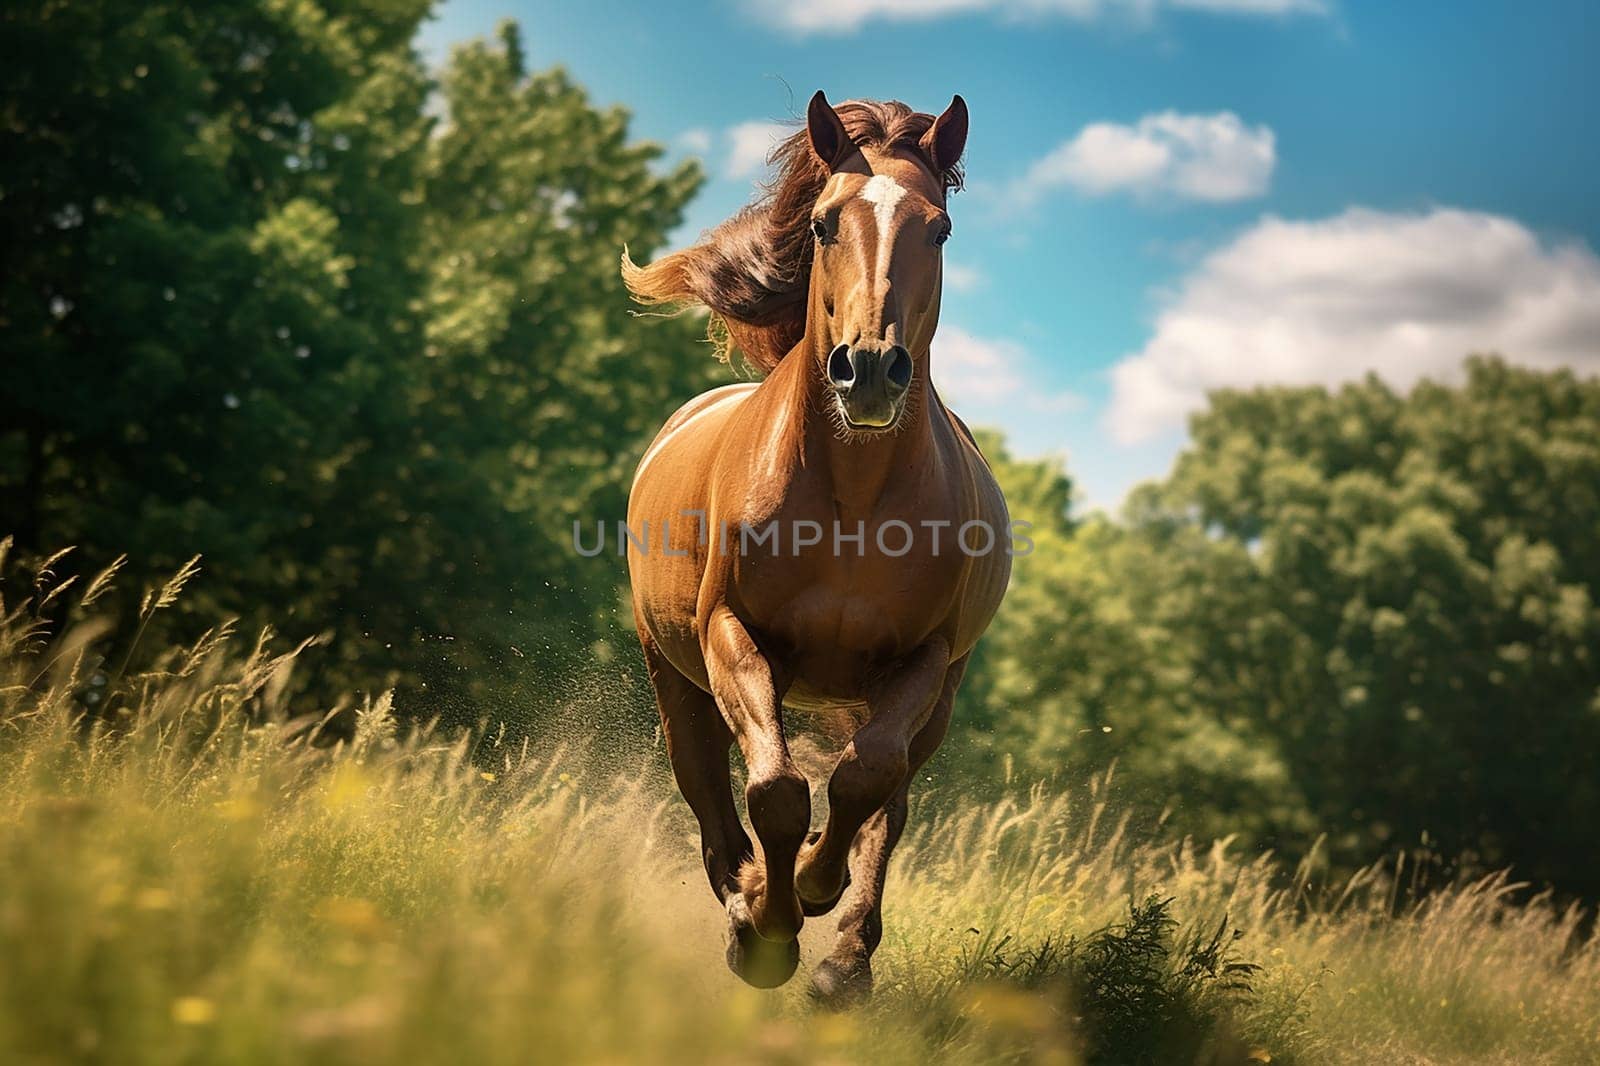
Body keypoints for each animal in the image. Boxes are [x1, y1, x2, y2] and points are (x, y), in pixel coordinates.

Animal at [617, 89, 1004, 998]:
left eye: (939, 230)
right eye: (825, 223)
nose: (870, 369)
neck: (854, 499)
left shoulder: (924, 658)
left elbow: (863, 778)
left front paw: (812, 892)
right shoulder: (731, 632)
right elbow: (777, 791)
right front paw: (768, 927)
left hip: (935, 695)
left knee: (891, 799)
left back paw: (845, 959)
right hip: (672, 667)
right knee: (705, 782)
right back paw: (744, 903)